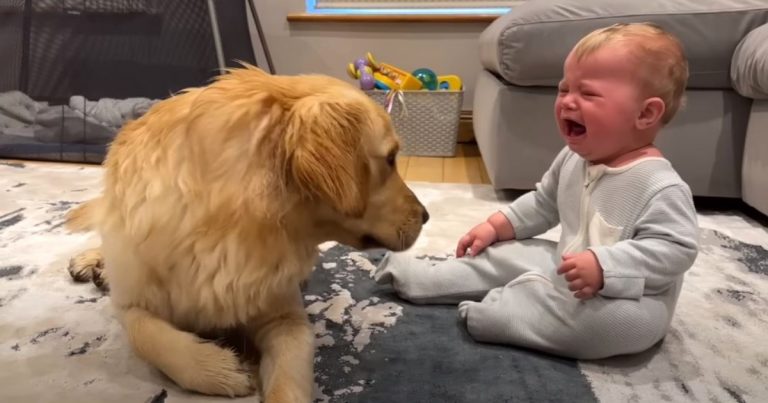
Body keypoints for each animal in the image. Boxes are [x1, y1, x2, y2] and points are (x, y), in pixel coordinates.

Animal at [63, 64, 428, 402]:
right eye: (390, 159)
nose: (426, 216)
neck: (232, 228)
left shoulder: (286, 319)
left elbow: (289, 381)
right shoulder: (132, 302)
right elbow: (146, 335)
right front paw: (218, 369)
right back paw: (92, 263)